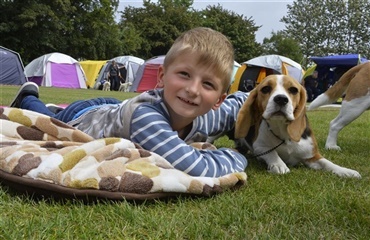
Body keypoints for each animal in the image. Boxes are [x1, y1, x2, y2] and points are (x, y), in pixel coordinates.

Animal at [234, 75, 362, 178]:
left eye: (293, 90)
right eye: (265, 89)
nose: (281, 99)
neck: (284, 135)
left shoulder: (312, 156)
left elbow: (327, 163)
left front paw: (345, 171)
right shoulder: (259, 147)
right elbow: (271, 152)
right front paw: (279, 164)